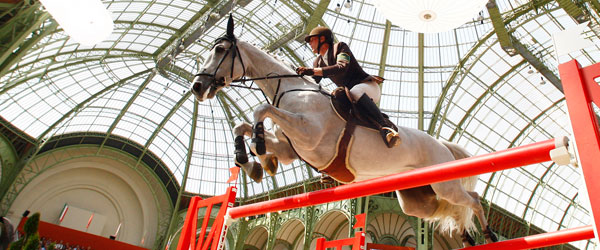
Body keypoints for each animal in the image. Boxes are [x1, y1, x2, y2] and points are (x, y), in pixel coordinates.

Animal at [192, 17, 496, 246]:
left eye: (220, 50)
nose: (197, 87)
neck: (289, 90)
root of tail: (442, 145)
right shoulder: (291, 148)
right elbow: (242, 126)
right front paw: (253, 162)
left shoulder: (310, 135)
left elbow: (260, 110)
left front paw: (258, 151)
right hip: (417, 200)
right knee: (450, 209)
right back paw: (465, 236)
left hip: (444, 183)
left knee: (472, 199)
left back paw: (488, 234)